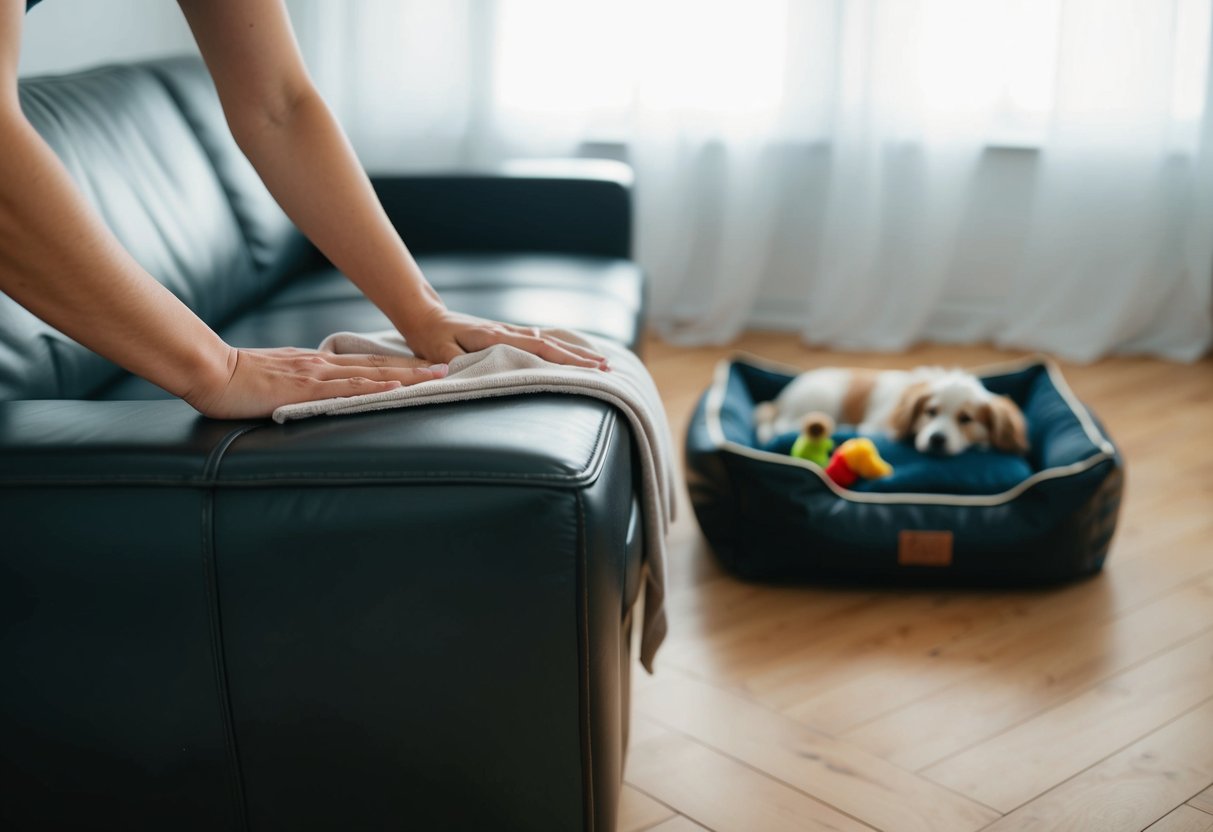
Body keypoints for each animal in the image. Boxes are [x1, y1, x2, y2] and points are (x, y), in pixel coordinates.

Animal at [756, 366, 1023, 456]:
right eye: (930, 412)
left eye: (966, 418)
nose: (936, 439)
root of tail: (781, 399)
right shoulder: (874, 427)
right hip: (823, 399)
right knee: (783, 426)